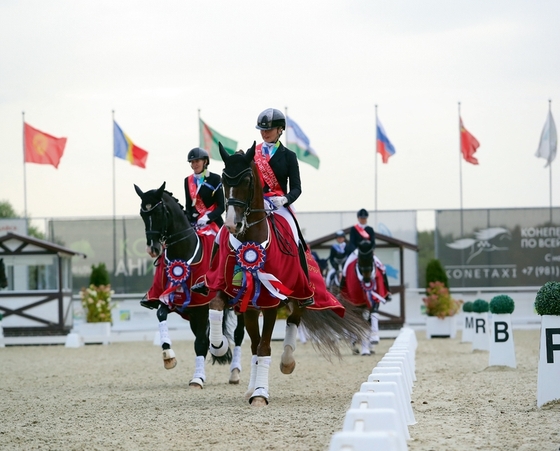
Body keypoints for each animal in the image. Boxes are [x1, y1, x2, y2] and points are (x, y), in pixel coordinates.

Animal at [135, 181, 245, 388]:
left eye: (159, 212)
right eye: (142, 214)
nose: (153, 249)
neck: (183, 253)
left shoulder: (201, 308)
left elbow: (201, 343)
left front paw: (197, 378)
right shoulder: (174, 300)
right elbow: (161, 315)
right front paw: (168, 356)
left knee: (238, 334)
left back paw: (234, 372)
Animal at [203, 143, 370, 408]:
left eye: (247, 180)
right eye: (223, 180)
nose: (231, 224)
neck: (251, 241)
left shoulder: (271, 300)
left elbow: (265, 348)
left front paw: (261, 393)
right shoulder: (233, 293)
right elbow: (218, 308)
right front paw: (219, 347)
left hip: (301, 293)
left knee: (293, 320)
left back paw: (287, 362)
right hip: (253, 307)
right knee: (257, 342)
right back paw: (250, 385)